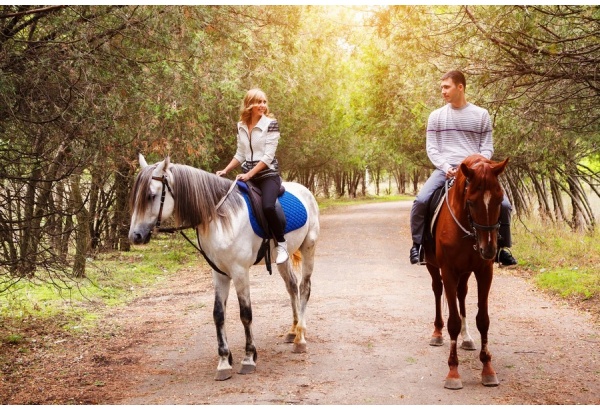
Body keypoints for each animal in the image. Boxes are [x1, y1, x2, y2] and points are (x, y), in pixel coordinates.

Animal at [129, 155, 322, 382]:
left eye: (151, 196)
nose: (135, 236)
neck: (221, 217)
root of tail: (305, 190)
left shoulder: (239, 272)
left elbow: (245, 314)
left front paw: (248, 358)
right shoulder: (219, 273)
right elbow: (218, 314)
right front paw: (223, 361)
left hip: (309, 248)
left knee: (304, 288)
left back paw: (300, 338)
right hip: (281, 259)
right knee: (292, 287)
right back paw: (293, 331)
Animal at [424, 155, 508, 390]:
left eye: (500, 200)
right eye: (470, 202)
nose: (488, 249)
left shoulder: (484, 271)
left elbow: (484, 320)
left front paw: (488, 369)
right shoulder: (448, 271)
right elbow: (452, 321)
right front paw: (453, 372)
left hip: (465, 273)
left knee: (462, 294)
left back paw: (467, 338)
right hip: (433, 267)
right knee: (437, 291)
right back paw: (437, 333)